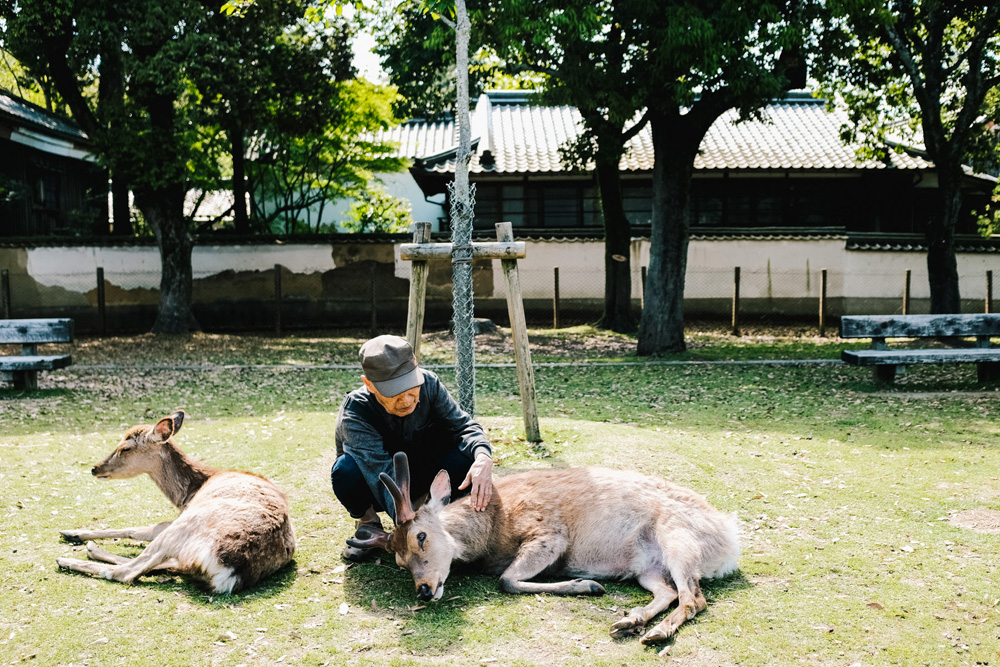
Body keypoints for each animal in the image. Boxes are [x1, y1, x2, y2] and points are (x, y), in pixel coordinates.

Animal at [56, 412, 294, 596]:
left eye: (125, 448)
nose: (95, 468)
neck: (188, 494)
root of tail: (230, 572)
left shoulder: (181, 515)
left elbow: (136, 530)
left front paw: (72, 532)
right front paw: (72, 533)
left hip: (187, 525)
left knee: (129, 572)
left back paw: (69, 558)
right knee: (161, 565)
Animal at [348, 452, 740, 644]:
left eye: (421, 536)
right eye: (400, 562)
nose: (425, 590)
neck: (493, 530)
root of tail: (730, 544)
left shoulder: (550, 534)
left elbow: (506, 580)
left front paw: (587, 584)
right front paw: (589, 585)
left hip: (677, 539)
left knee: (694, 598)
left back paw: (656, 633)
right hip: (648, 568)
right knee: (669, 593)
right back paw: (630, 621)